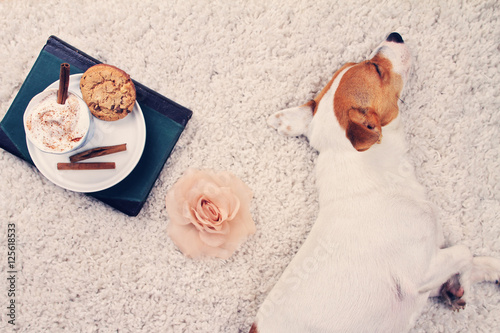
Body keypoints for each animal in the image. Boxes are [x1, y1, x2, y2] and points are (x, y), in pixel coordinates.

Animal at [252, 31, 500, 332]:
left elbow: (474, 261)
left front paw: (478, 276)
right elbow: (465, 251)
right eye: (377, 69)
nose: (395, 35)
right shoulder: (422, 271)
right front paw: (458, 283)